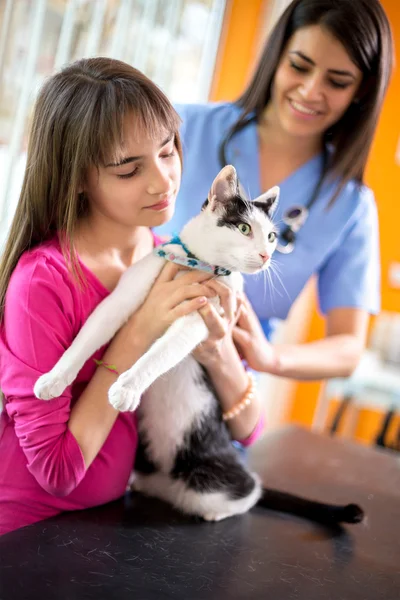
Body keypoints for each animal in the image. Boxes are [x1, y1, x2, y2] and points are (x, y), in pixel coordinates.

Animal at [34, 165, 364, 524]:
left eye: (272, 237)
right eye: (244, 228)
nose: (265, 255)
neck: (197, 264)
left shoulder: (201, 317)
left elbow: (161, 352)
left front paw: (128, 387)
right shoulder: (127, 292)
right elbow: (90, 333)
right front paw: (53, 379)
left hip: (213, 479)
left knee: (250, 489)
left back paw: (217, 510)